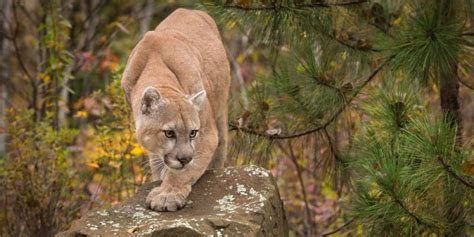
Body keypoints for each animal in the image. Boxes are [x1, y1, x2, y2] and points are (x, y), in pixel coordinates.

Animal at [121, 8, 231, 212]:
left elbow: (183, 172)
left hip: (221, 118)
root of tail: (189, 9)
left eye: (193, 132)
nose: (185, 158)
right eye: (169, 133)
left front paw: (167, 195)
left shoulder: (208, 134)